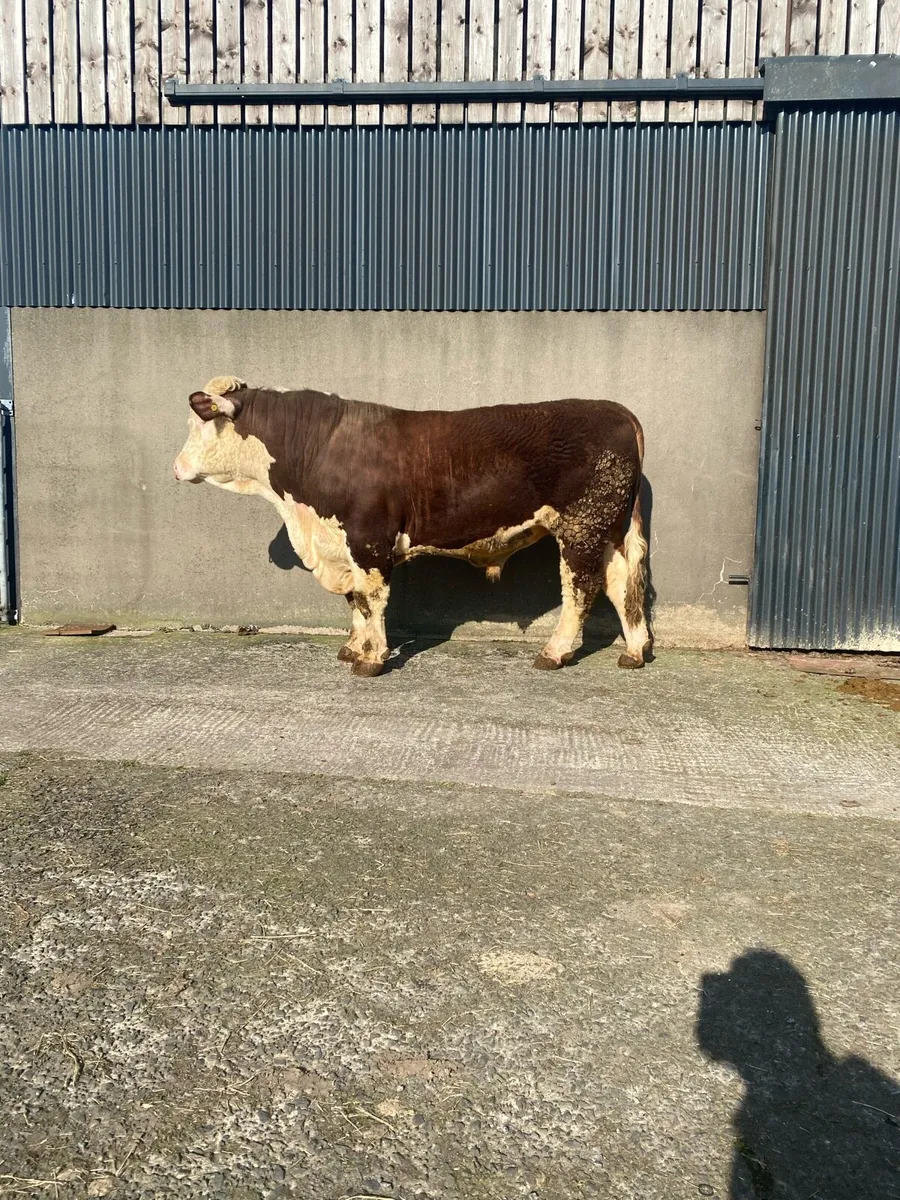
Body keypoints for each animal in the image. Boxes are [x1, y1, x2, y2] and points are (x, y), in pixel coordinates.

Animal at [174, 375, 651, 677]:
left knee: (581, 589)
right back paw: (635, 651)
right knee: (622, 583)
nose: (176, 468)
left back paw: (555, 652)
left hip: (581, 527)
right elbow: (355, 600)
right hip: (608, 529)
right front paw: (352, 648)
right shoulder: (344, 544)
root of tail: (616, 410)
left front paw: (371, 659)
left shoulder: (368, 539)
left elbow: (371, 599)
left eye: (201, 423)